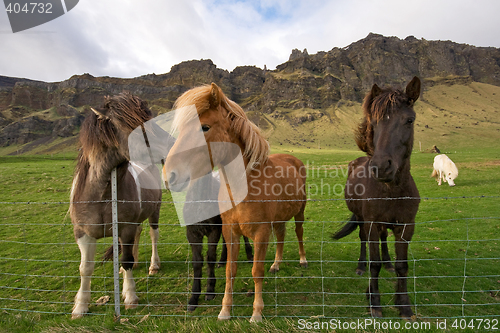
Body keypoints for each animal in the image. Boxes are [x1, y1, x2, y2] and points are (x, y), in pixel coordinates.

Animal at [70, 92, 166, 318]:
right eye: (135, 124)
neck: (102, 194)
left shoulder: (126, 228)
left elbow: (126, 259)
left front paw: (130, 297)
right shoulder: (83, 233)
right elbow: (85, 268)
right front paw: (80, 306)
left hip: (154, 212)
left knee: (153, 235)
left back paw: (153, 265)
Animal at [163, 83, 308, 322]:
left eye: (204, 127)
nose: (169, 175)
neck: (244, 186)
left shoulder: (260, 233)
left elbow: (256, 271)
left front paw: (257, 312)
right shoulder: (229, 231)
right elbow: (230, 270)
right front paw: (225, 310)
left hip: (300, 212)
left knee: (298, 233)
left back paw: (303, 260)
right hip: (278, 219)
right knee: (281, 237)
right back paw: (276, 264)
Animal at [334, 76, 420, 318]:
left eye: (410, 120)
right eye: (374, 122)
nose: (381, 166)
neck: (392, 192)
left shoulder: (406, 226)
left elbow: (402, 266)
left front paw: (404, 305)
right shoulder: (371, 223)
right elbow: (374, 264)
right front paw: (374, 302)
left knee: (384, 240)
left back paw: (388, 262)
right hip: (363, 219)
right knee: (363, 239)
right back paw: (360, 266)